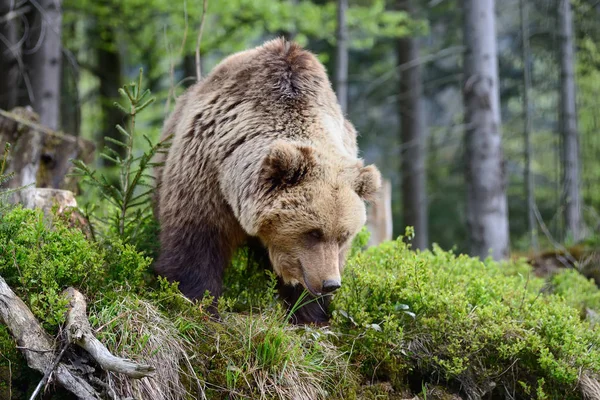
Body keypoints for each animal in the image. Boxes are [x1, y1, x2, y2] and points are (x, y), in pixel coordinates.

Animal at [154, 38, 380, 324]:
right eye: (313, 232)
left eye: (343, 235)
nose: (331, 284)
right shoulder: (205, 174)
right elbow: (196, 245)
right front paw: (197, 304)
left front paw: (309, 313)